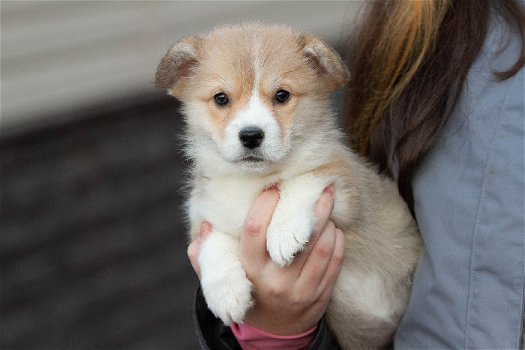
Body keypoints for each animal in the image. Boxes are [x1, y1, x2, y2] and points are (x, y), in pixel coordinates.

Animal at [155, 23, 422, 348]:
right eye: (221, 98)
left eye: (282, 95)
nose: (251, 136)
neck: (251, 183)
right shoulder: (203, 215)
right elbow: (212, 243)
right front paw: (226, 293)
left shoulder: (344, 186)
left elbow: (299, 180)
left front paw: (284, 233)